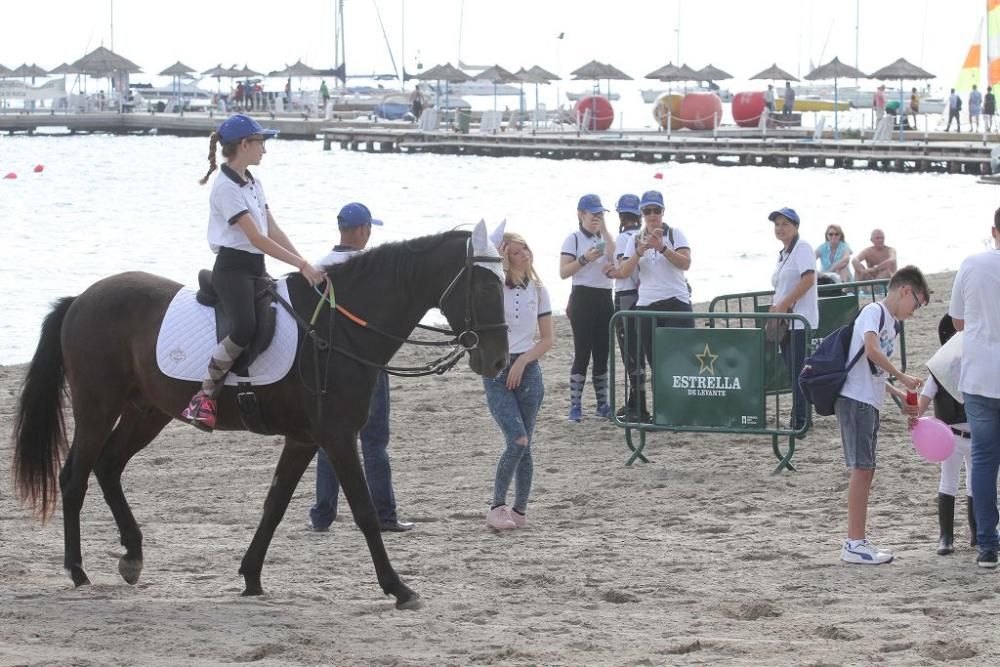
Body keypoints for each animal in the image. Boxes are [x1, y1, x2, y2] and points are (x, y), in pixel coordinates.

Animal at [9, 224, 508, 612]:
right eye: (486, 286)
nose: (499, 360)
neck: (340, 328)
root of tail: (82, 298)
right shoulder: (337, 437)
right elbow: (364, 512)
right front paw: (399, 588)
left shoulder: (305, 439)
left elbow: (274, 505)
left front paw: (251, 577)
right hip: (98, 406)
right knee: (74, 477)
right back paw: (77, 571)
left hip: (146, 412)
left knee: (108, 466)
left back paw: (131, 556)